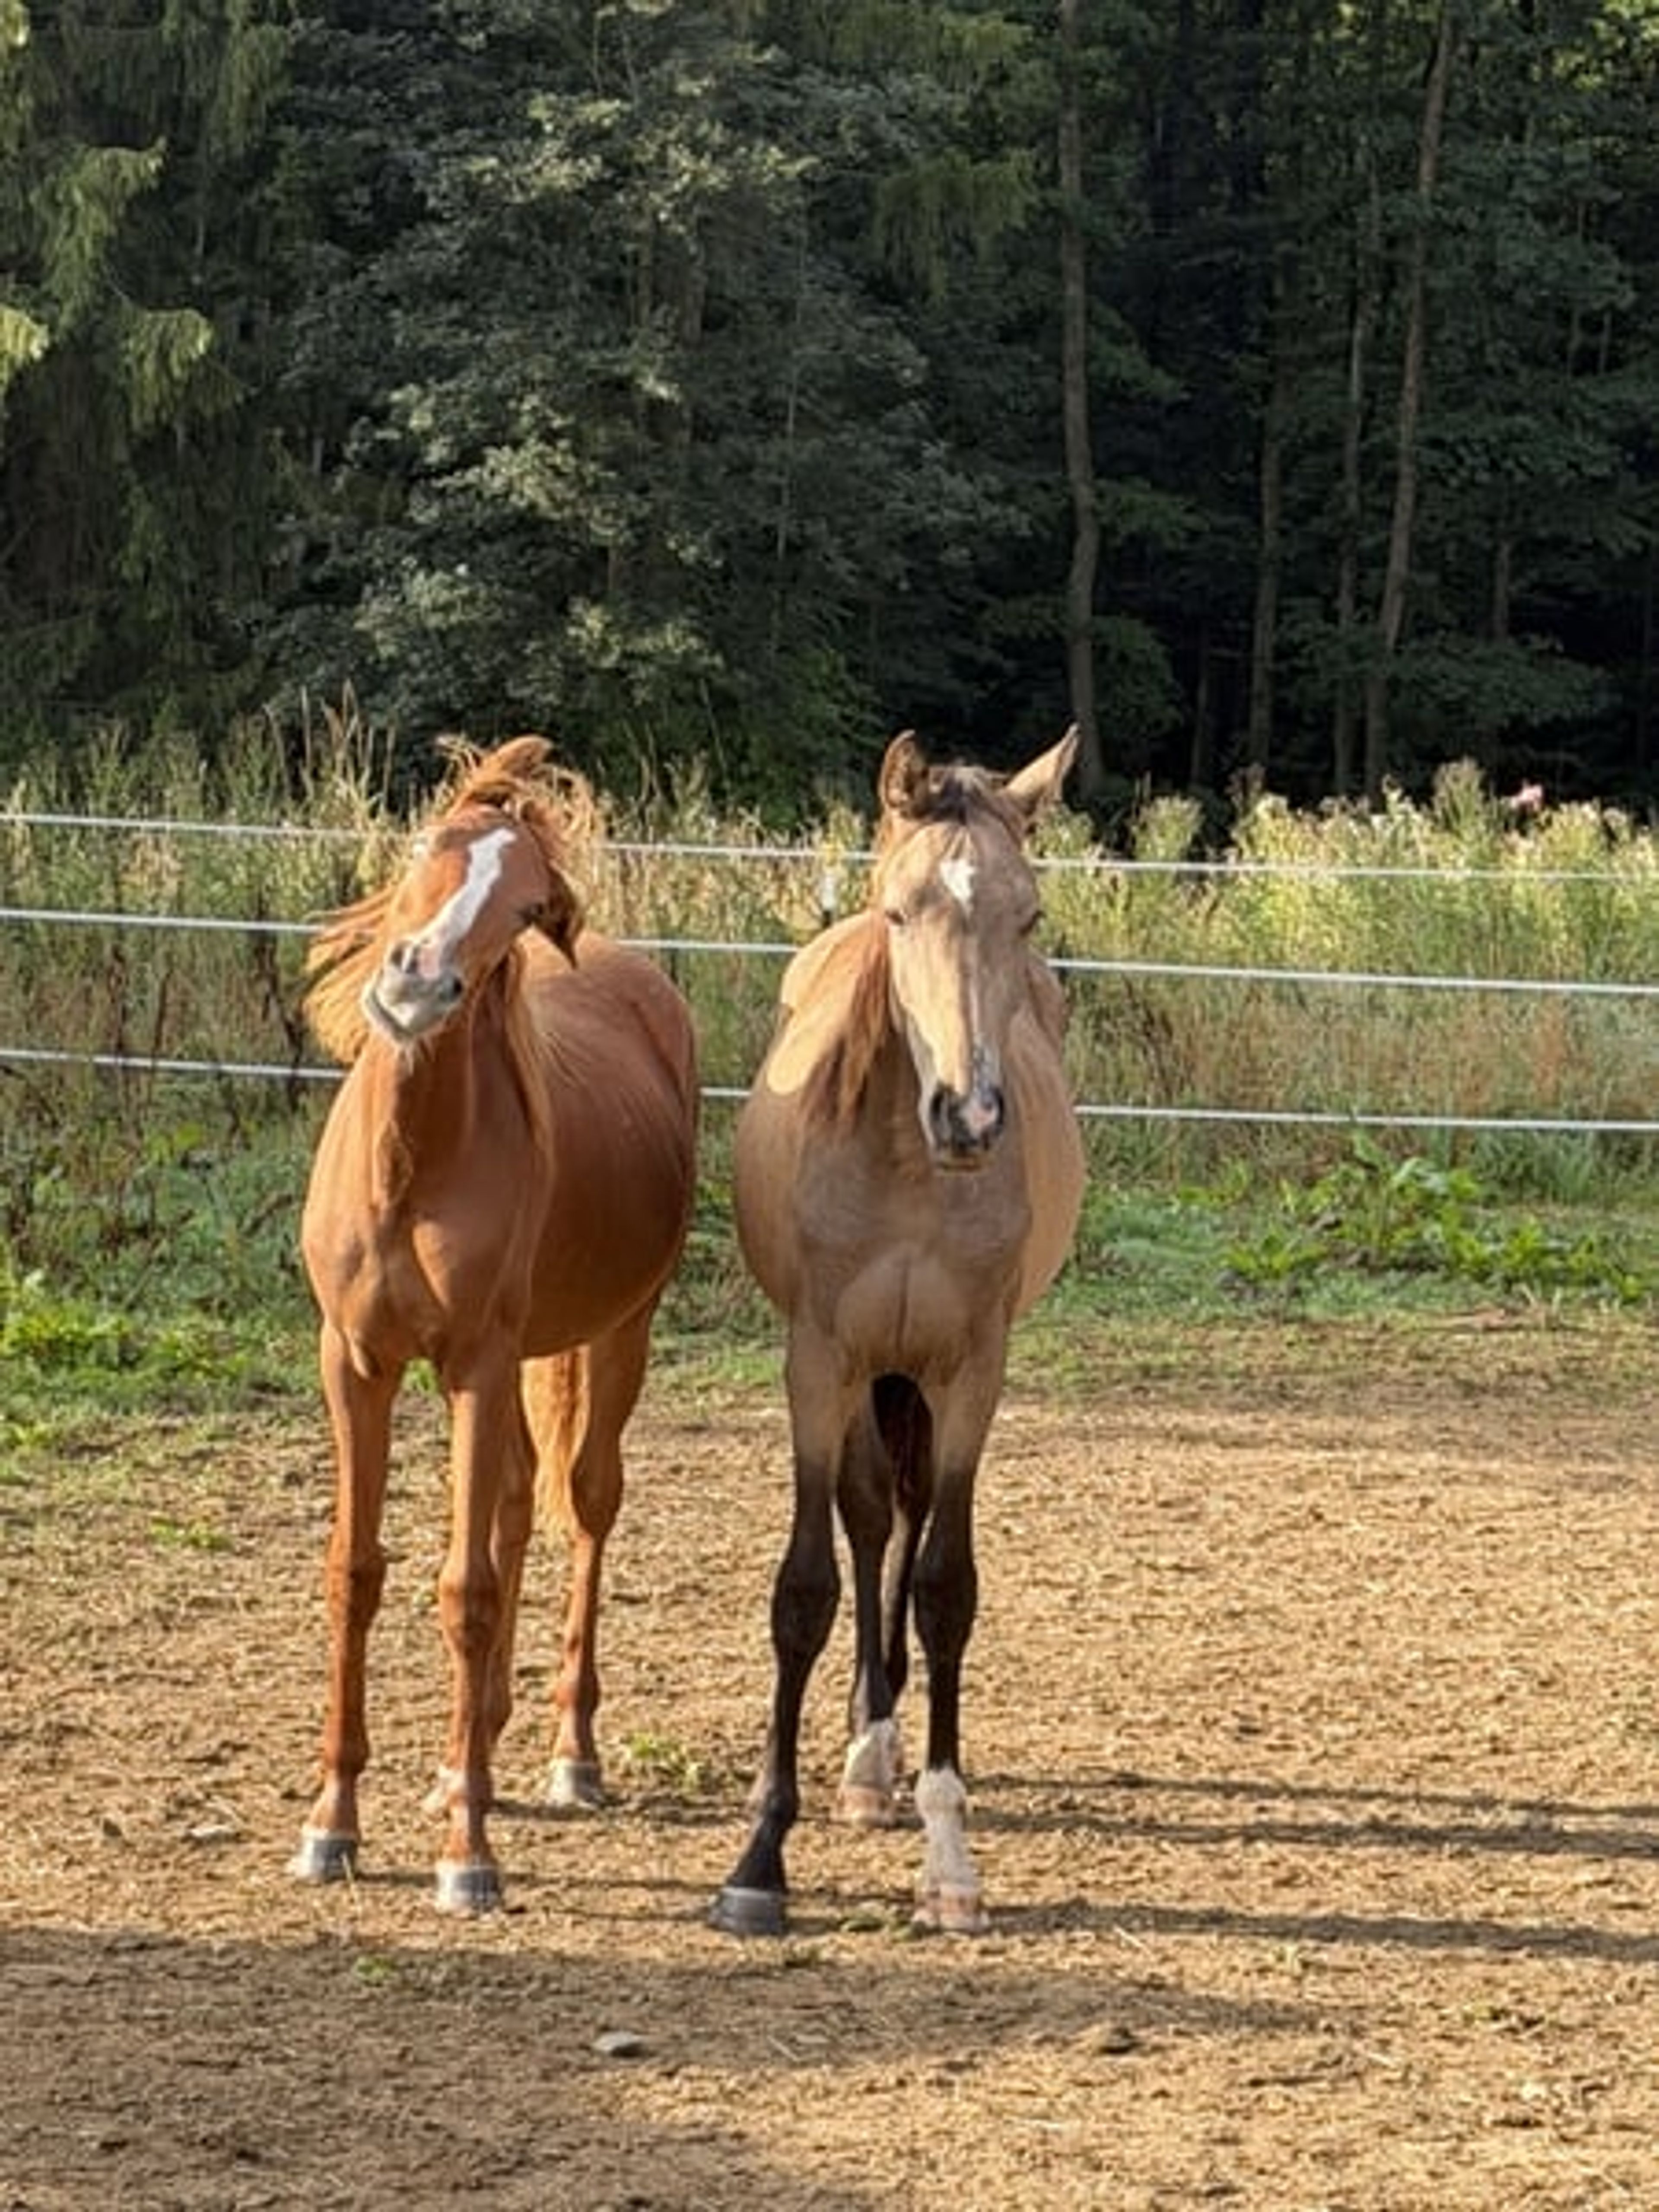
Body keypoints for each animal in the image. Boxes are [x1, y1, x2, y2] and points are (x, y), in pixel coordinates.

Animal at [290, 736, 699, 1913]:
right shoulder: (358, 1364)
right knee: (518, 1501)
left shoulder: (473, 1362)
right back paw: (466, 1755)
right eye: (431, 845)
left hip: (615, 1334)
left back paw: (568, 1757)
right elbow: (357, 1572)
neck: (413, 1165)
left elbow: (463, 1588)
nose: (416, 982)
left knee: (584, 1503)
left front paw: (466, 1855)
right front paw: (333, 1824)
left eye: (523, 908)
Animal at [712, 728, 1085, 1938]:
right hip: (866, 1373)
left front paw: (950, 1859)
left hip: (913, 1377)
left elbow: (943, 1589)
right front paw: (758, 1858)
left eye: (1028, 916)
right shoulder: (819, 1359)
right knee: (869, 1517)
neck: (908, 1170)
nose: (968, 1114)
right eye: (899, 910)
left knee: (904, 1523)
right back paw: (865, 1753)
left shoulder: (971, 1370)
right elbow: (804, 1588)